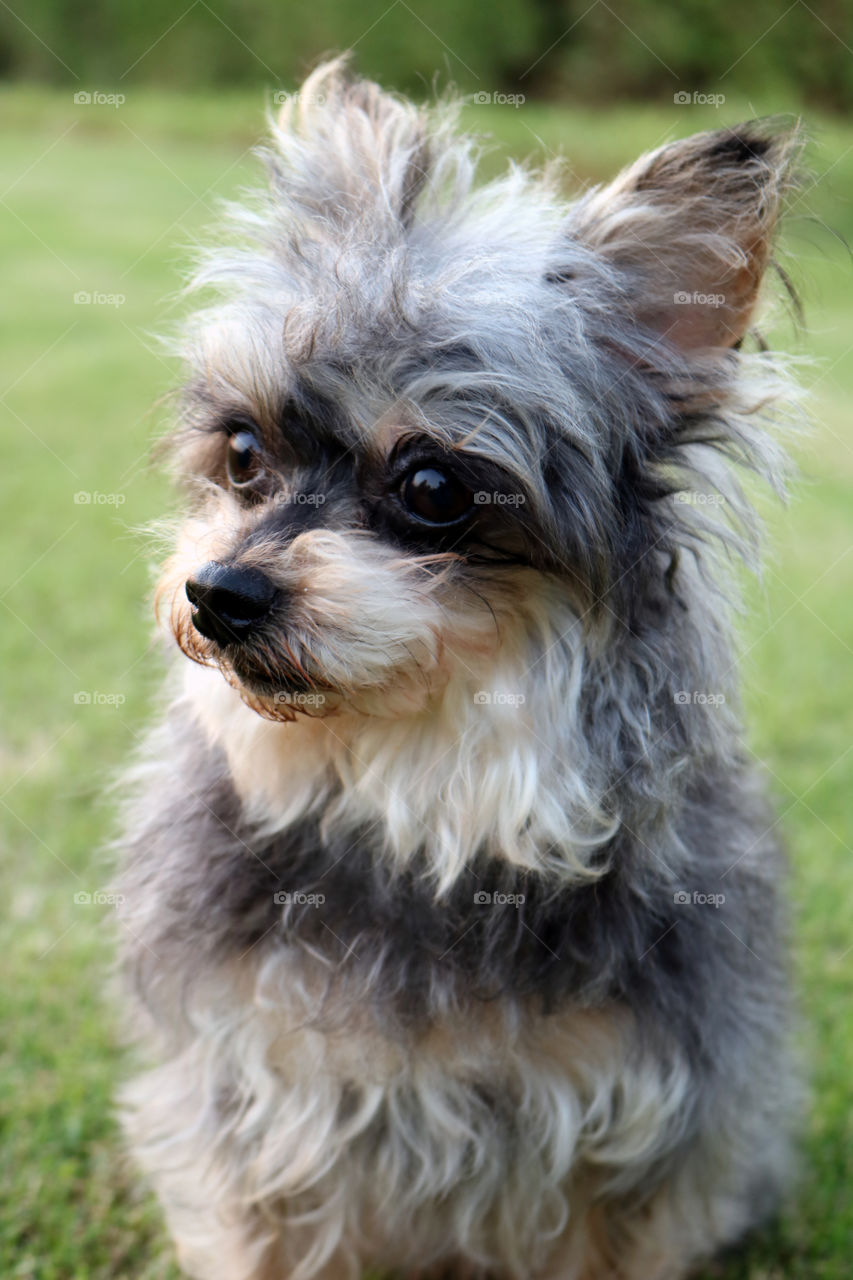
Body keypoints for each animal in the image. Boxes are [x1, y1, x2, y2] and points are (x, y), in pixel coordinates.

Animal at [116, 57, 799, 1280]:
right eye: (242, 453)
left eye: (431, 486)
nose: (218, 595)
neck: (414, 797)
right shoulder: (255, 1100)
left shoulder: (629, 1132)